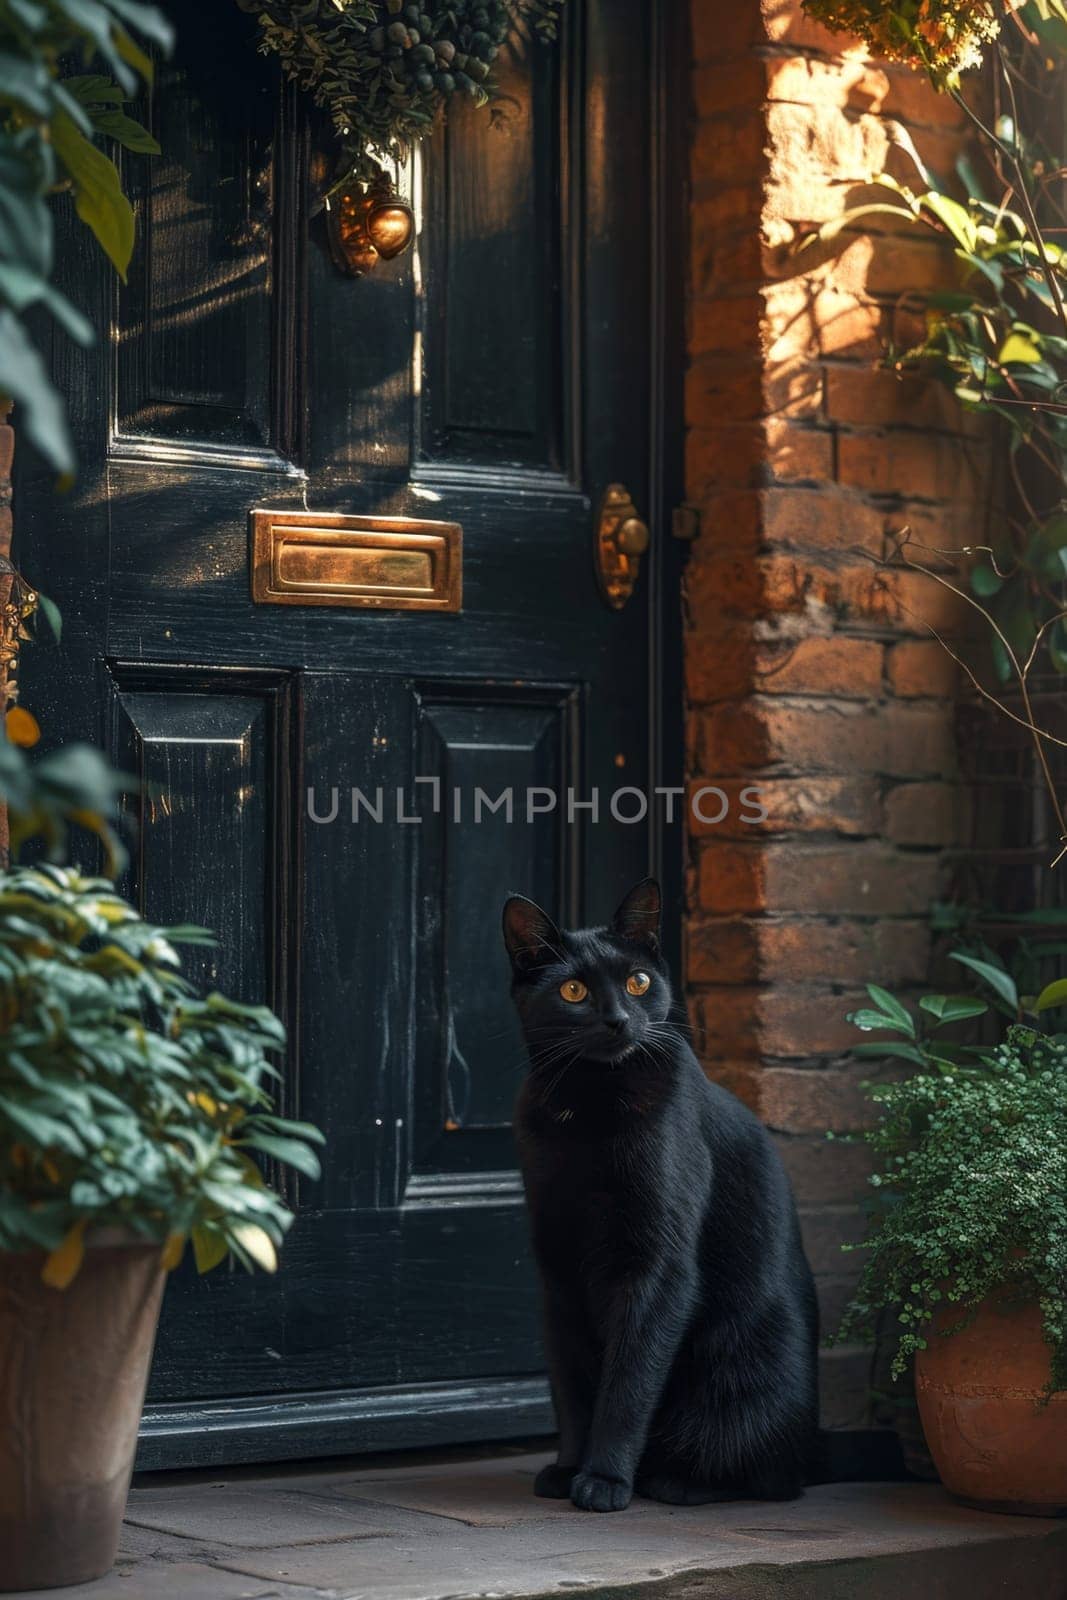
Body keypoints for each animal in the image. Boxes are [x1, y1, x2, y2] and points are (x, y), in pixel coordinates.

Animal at [502, 876, 819, 1510]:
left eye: (638, 982)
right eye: (573, 990)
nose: (619, 1020)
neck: (590, 1107)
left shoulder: (659, 1266)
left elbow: (629, 1380)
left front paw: (603, 1479)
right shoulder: (558, 1268)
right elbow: (573, 1382)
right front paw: (568, 1468)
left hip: (745, 1377)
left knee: (769, 1477)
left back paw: (672, 1480)